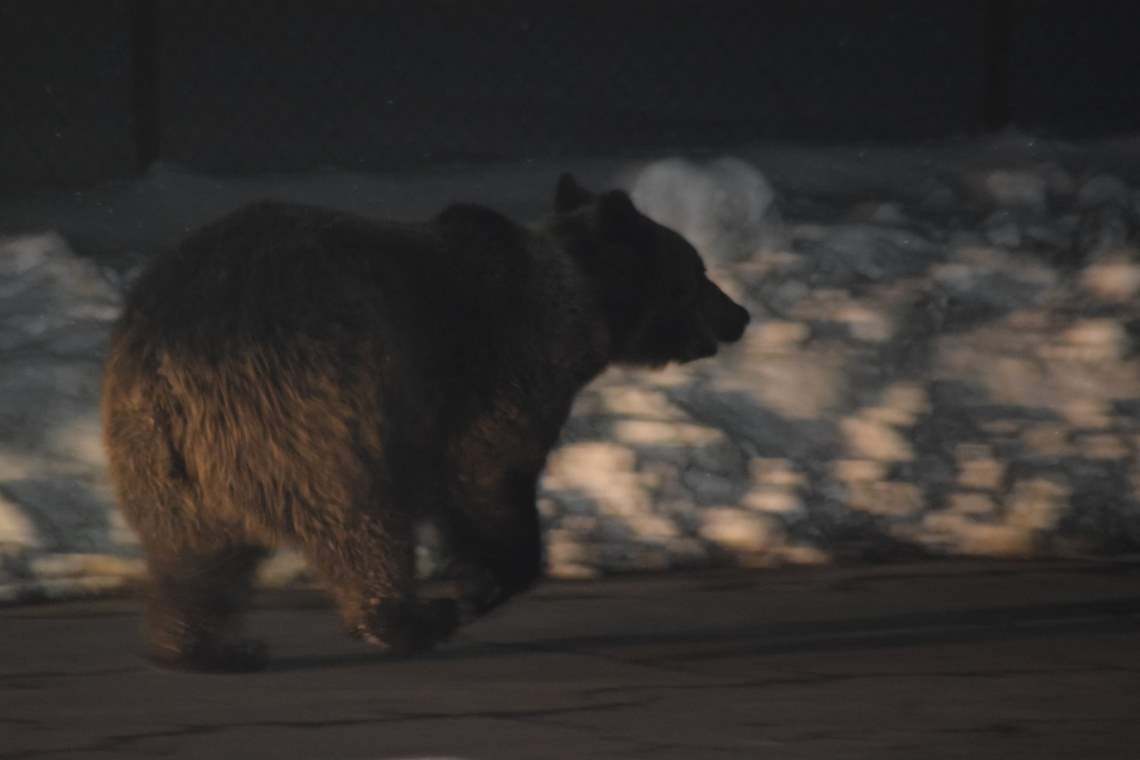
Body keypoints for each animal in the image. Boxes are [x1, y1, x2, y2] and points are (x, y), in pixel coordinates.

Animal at [102, 174, 752, 669]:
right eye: (697, 271)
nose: (740, 314)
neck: (582, 307)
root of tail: (167, 358)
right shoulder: (500, 369)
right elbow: (489, 474)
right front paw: (477, 585)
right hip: (305, 411)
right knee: (358, 518)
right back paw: (409, 618)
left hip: (161, 455)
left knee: (192, 556)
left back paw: (207, 645)